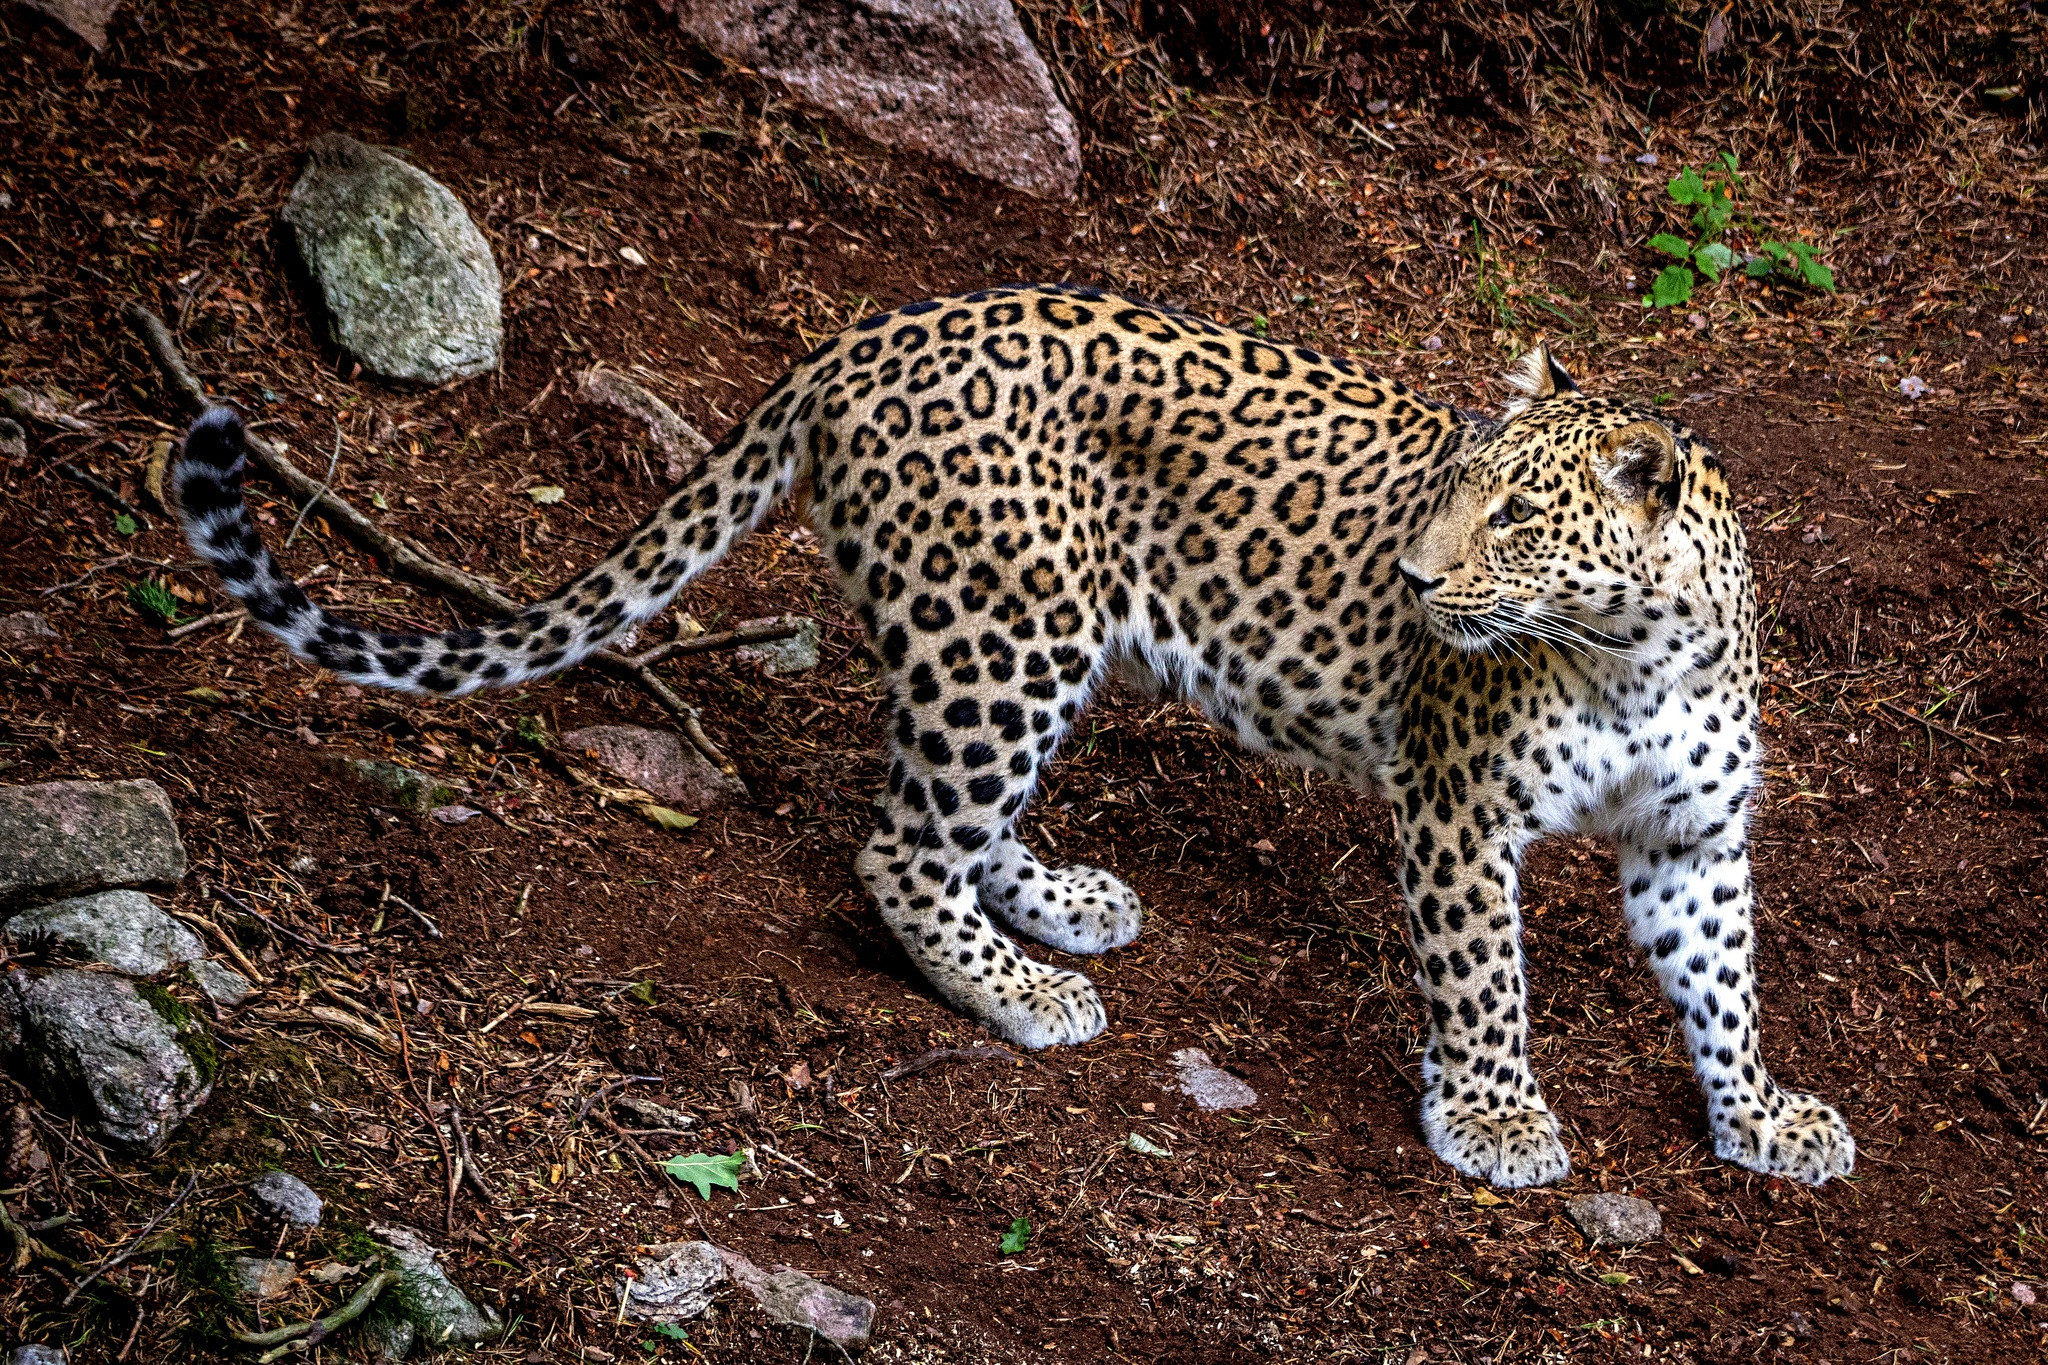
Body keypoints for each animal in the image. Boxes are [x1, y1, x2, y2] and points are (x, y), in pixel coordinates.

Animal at [176, 282, 1859, 1186]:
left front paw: (1762, 1115)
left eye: (1515, 515)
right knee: (898, 843)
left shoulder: (1694, 837)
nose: (1411, 577)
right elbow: (1485, 978)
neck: (1635, 655)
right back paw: (1019, 989)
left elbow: (1723, 983)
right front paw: (1500, 1117)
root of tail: (859, 337)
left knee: (956, 819)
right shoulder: (1459, 810)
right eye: (1455, 489)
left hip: (1026, 643)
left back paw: (1058, 904)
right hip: (1009, 627)